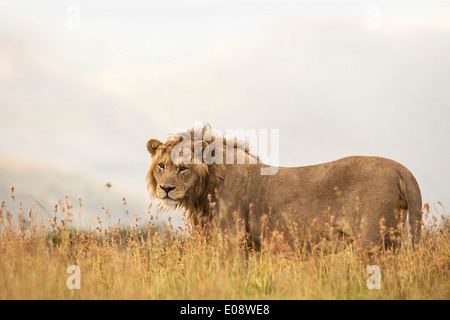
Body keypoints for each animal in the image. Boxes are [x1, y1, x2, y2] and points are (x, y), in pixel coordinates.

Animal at [147, 125, 422, 252]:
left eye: (183, 168)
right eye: (161, 165)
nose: (166, 189)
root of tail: (401, 169)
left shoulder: (233, 237)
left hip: (371, 240)